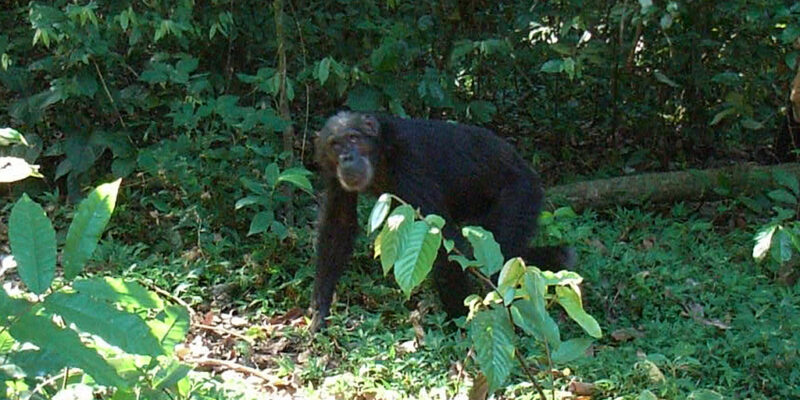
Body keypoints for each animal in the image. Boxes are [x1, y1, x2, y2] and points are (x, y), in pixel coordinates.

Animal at [308, 111, 576, 332]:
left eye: (353, 138)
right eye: (335, 144)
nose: (346, 156)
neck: (382, 153)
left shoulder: (410, 164)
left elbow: (441, 239)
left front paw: (461, 326)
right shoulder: (332, 173)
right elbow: (339, 224)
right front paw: (319, 314)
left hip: (520, 196)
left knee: (502, 260)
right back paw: (560, 260)